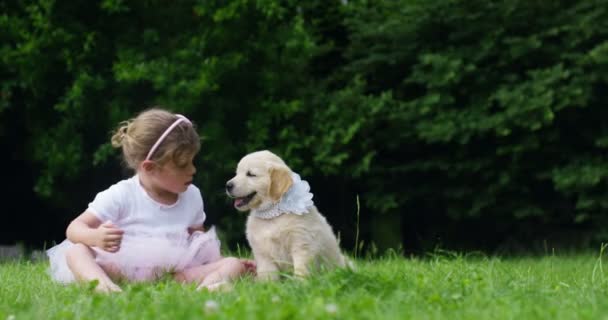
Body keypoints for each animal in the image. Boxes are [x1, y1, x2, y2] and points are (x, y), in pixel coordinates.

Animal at [226, 150, 350, 280]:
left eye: (250, 174)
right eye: (236, 173)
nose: (228, 185)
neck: (272, 214)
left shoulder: (301, 245)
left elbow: (301, 269)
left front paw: (299, 283)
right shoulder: (263, 254)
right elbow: (268, 274)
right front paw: (266, 284)